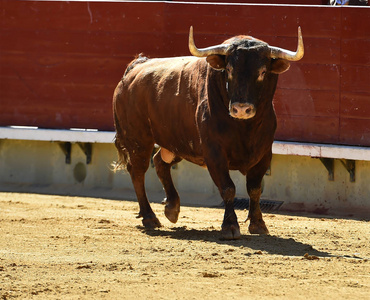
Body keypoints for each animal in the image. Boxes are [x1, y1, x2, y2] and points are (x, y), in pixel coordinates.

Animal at [112, 27, 304, 240]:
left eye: (262, 71)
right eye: (229, 70)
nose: (241, 109)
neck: (244, 127)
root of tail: (134, 69)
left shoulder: (264, 153)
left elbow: (254, 189)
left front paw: (258, 224)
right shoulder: (214, 152)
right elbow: (228, 188)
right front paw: (230, 226)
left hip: (178, 142)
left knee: (160, 162)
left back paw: (172, 208)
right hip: (138, 140)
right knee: (137, 171)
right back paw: (149, 217)